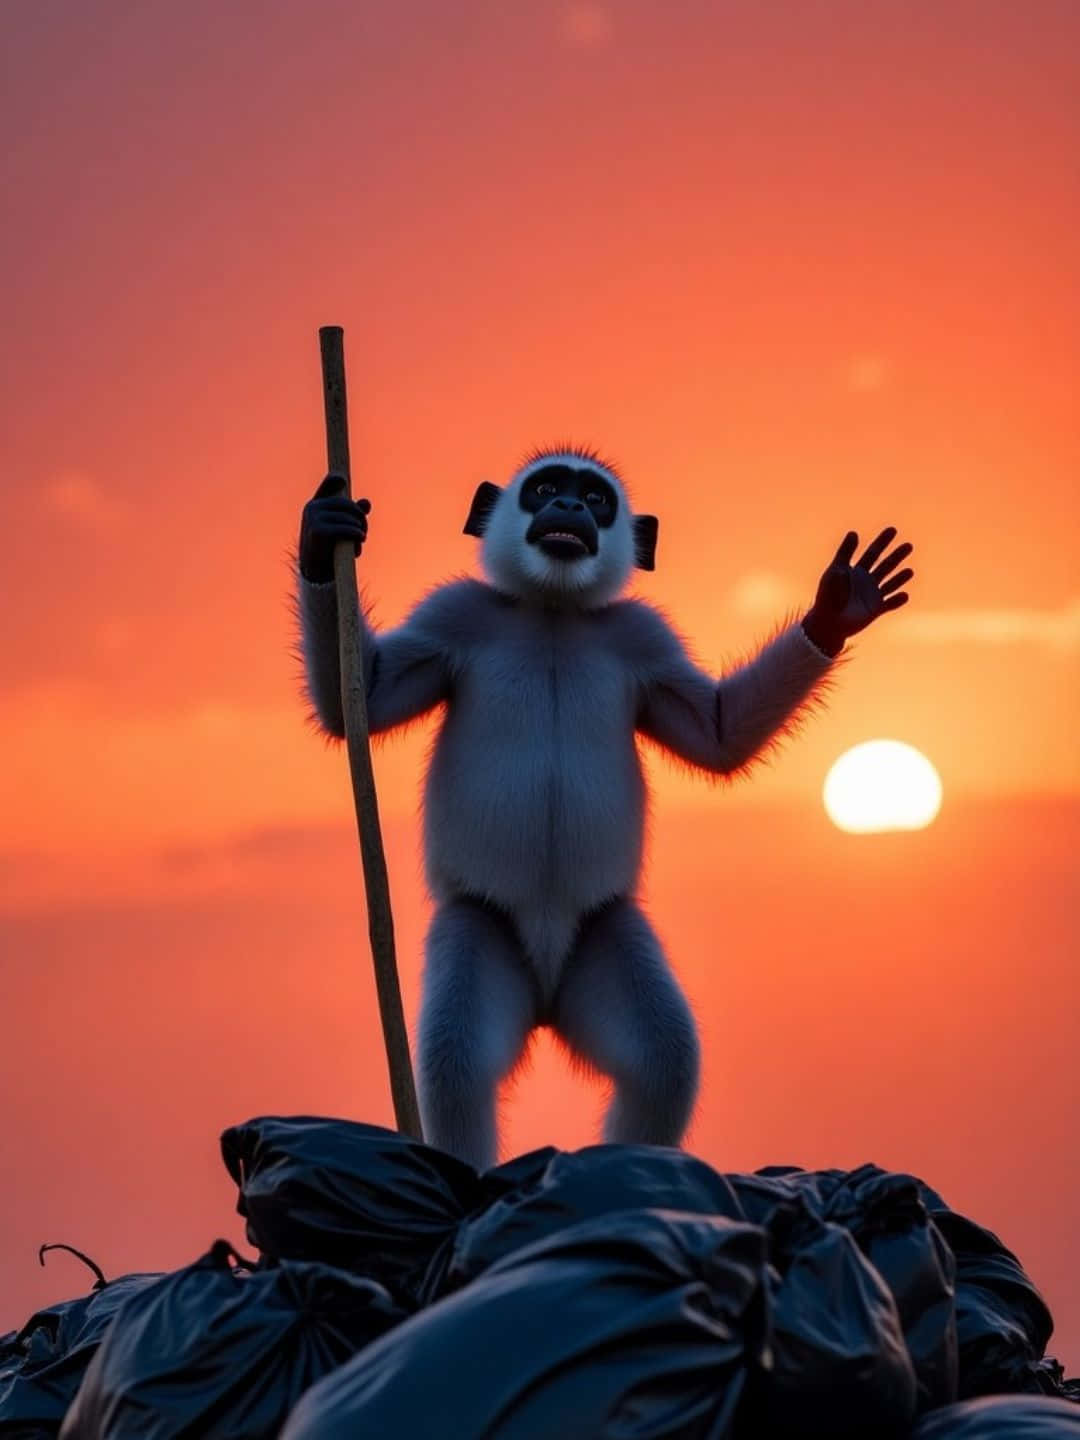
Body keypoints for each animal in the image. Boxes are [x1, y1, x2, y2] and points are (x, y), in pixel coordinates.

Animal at [295, 447, 914, 1169]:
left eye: (594, 498)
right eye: (544, 489)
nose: (568, 508)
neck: (553, 611)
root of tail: (544, 991)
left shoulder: (642, 635)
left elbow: (718, 735)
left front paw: (838, 608)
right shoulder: (457, 613)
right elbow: (359, 704)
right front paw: (322, 535)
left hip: (603, 934)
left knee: (663, 1059)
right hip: (482, 924)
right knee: (458, 1062)